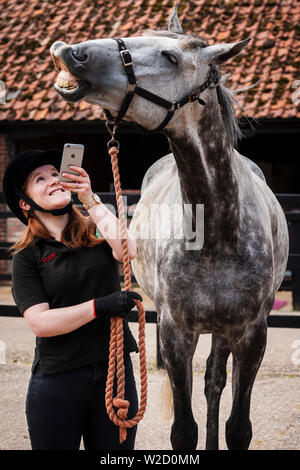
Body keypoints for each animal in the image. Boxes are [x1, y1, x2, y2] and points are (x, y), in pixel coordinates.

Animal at [51, 5, 288, 450]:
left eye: (171, 57)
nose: (68, 51)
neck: (217, 234)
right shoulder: (175, 335)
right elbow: (184, 430)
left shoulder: (252, 337)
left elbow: (238, 427)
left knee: (214, 382)